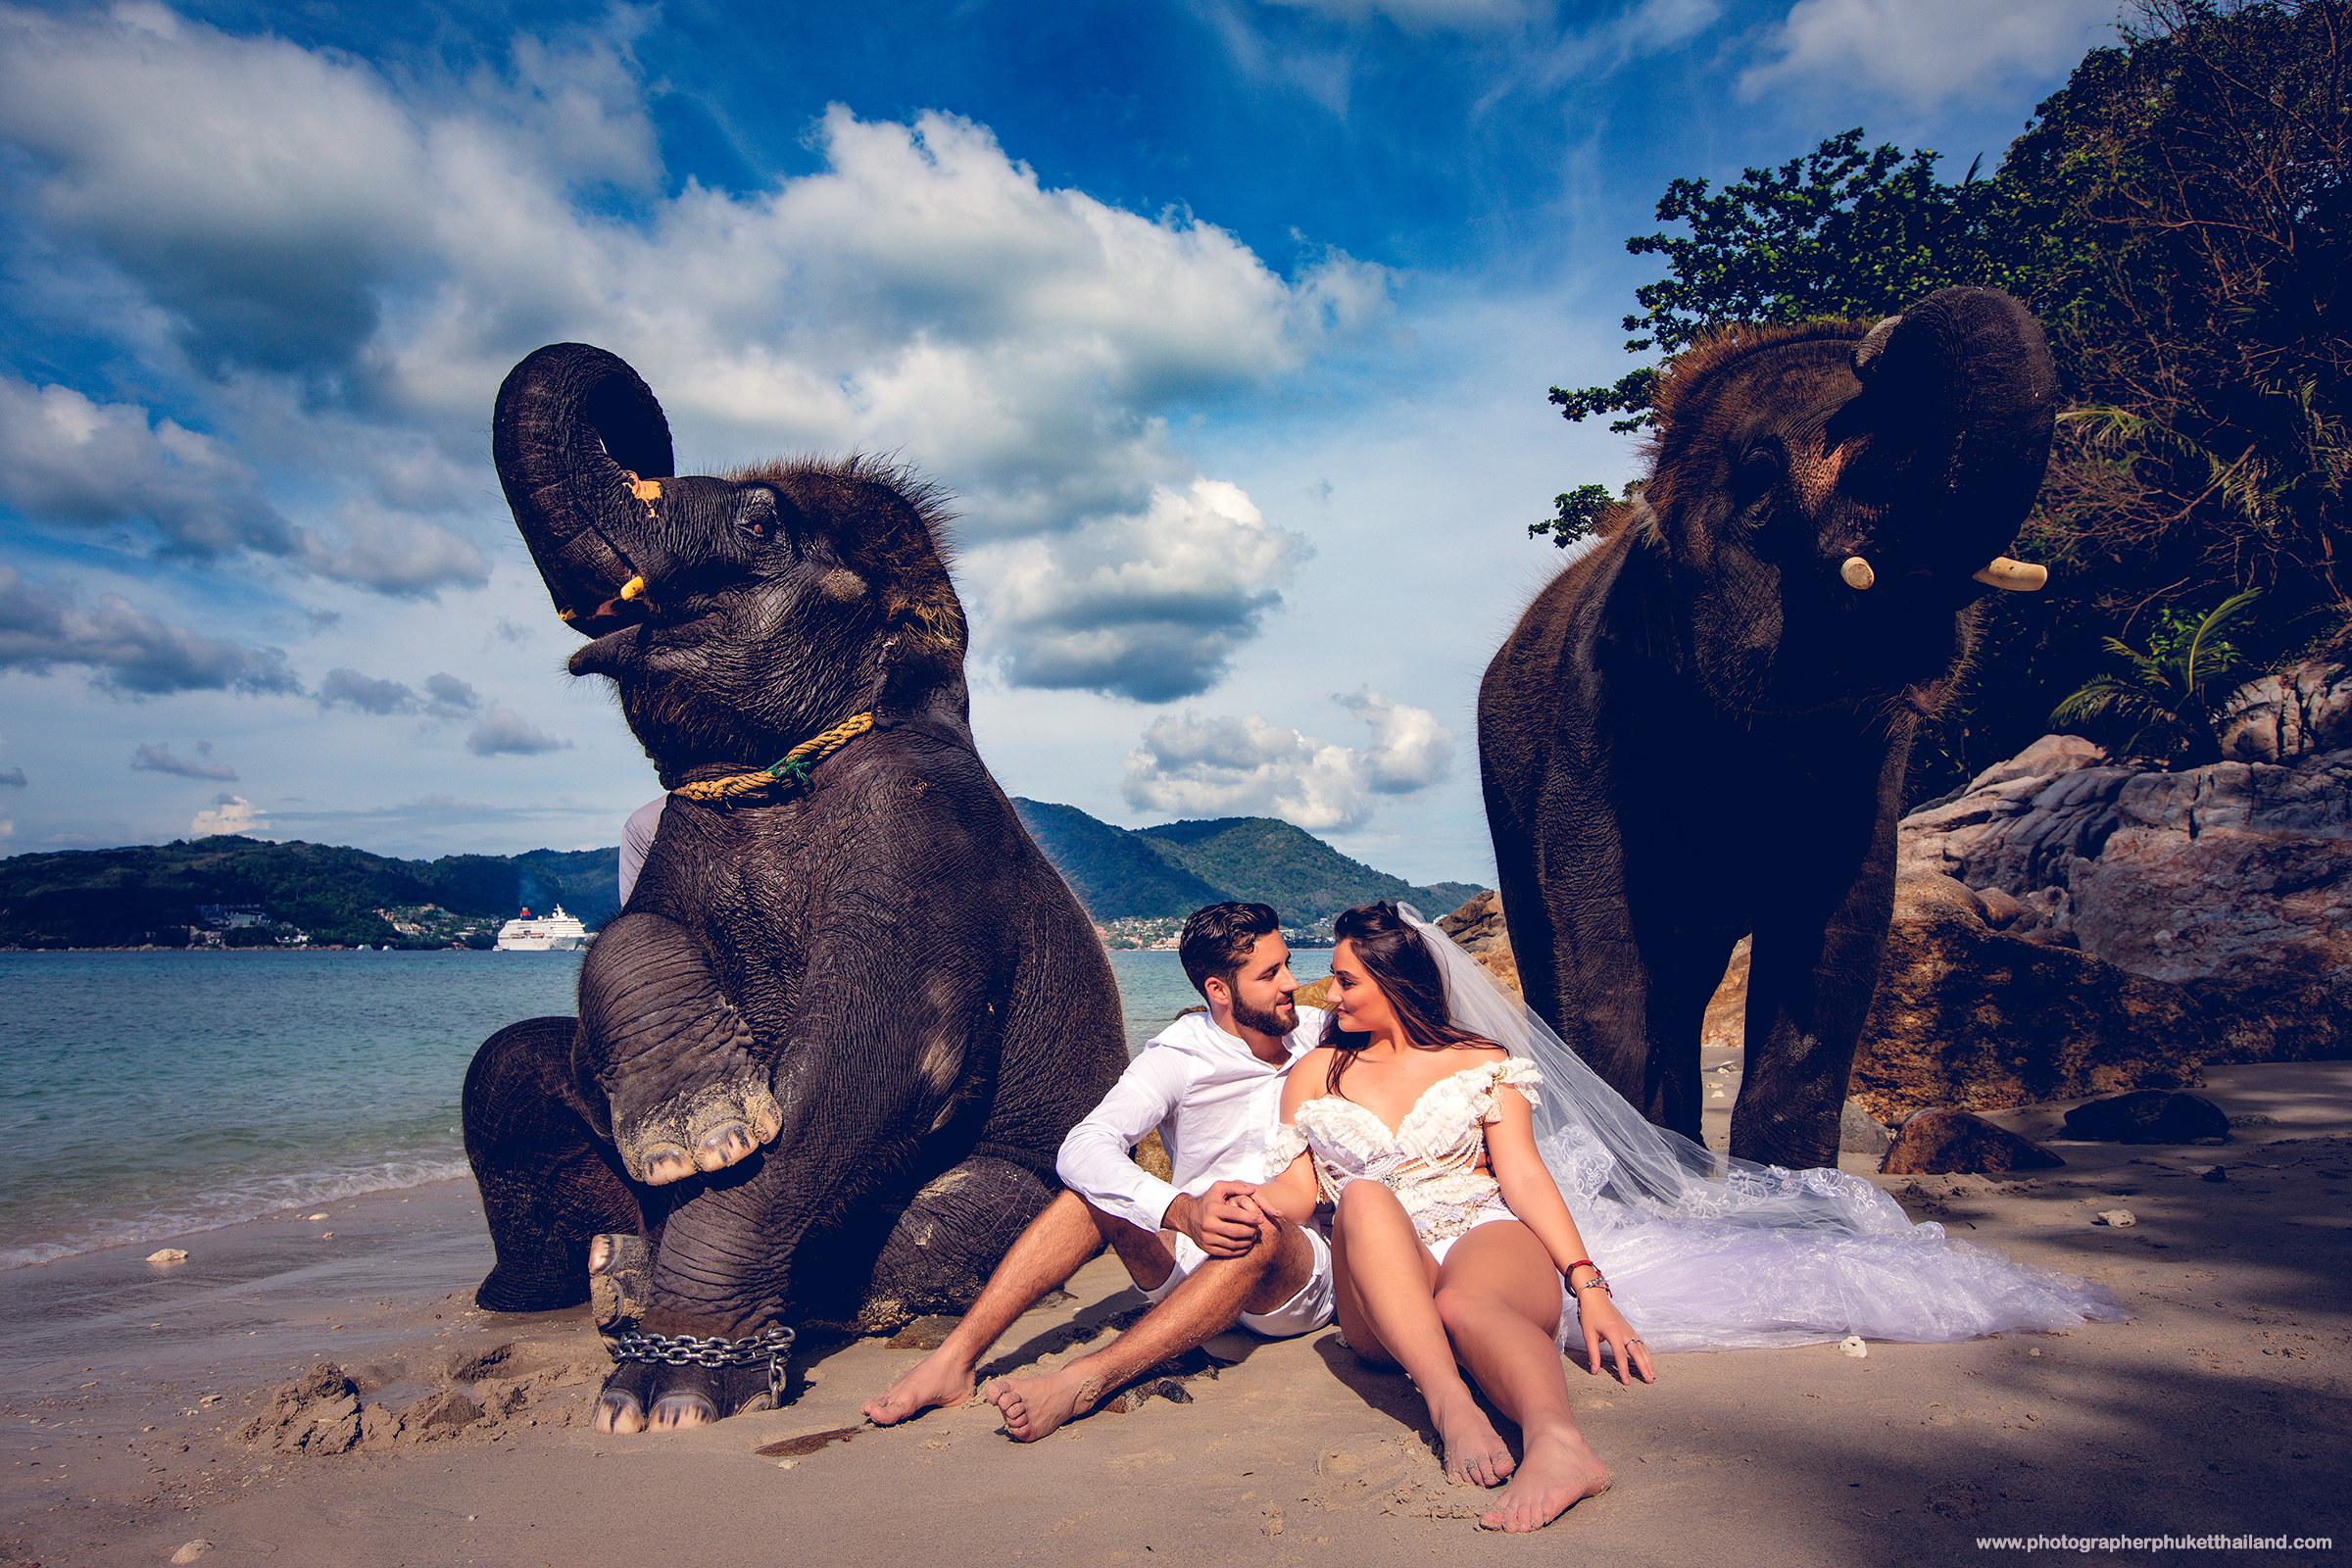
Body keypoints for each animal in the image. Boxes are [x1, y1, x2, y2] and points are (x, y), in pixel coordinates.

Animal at [461, 342, 1128, 1431]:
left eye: (761, 525)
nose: (646, 432)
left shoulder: (922, 833)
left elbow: (865, 1064)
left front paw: (667, 1392)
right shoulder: (685, 829)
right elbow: (624, 933)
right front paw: (698, 1134)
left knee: (963, 1211)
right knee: (507, 1066)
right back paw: (583, 1280)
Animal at [1479, 287, 2058, 1171]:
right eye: (1760, 482)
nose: (1878, 343)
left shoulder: (1868, 767)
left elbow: (1839, 929)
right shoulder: (1594, 715)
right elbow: (1598, 938)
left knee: (1684, 982)